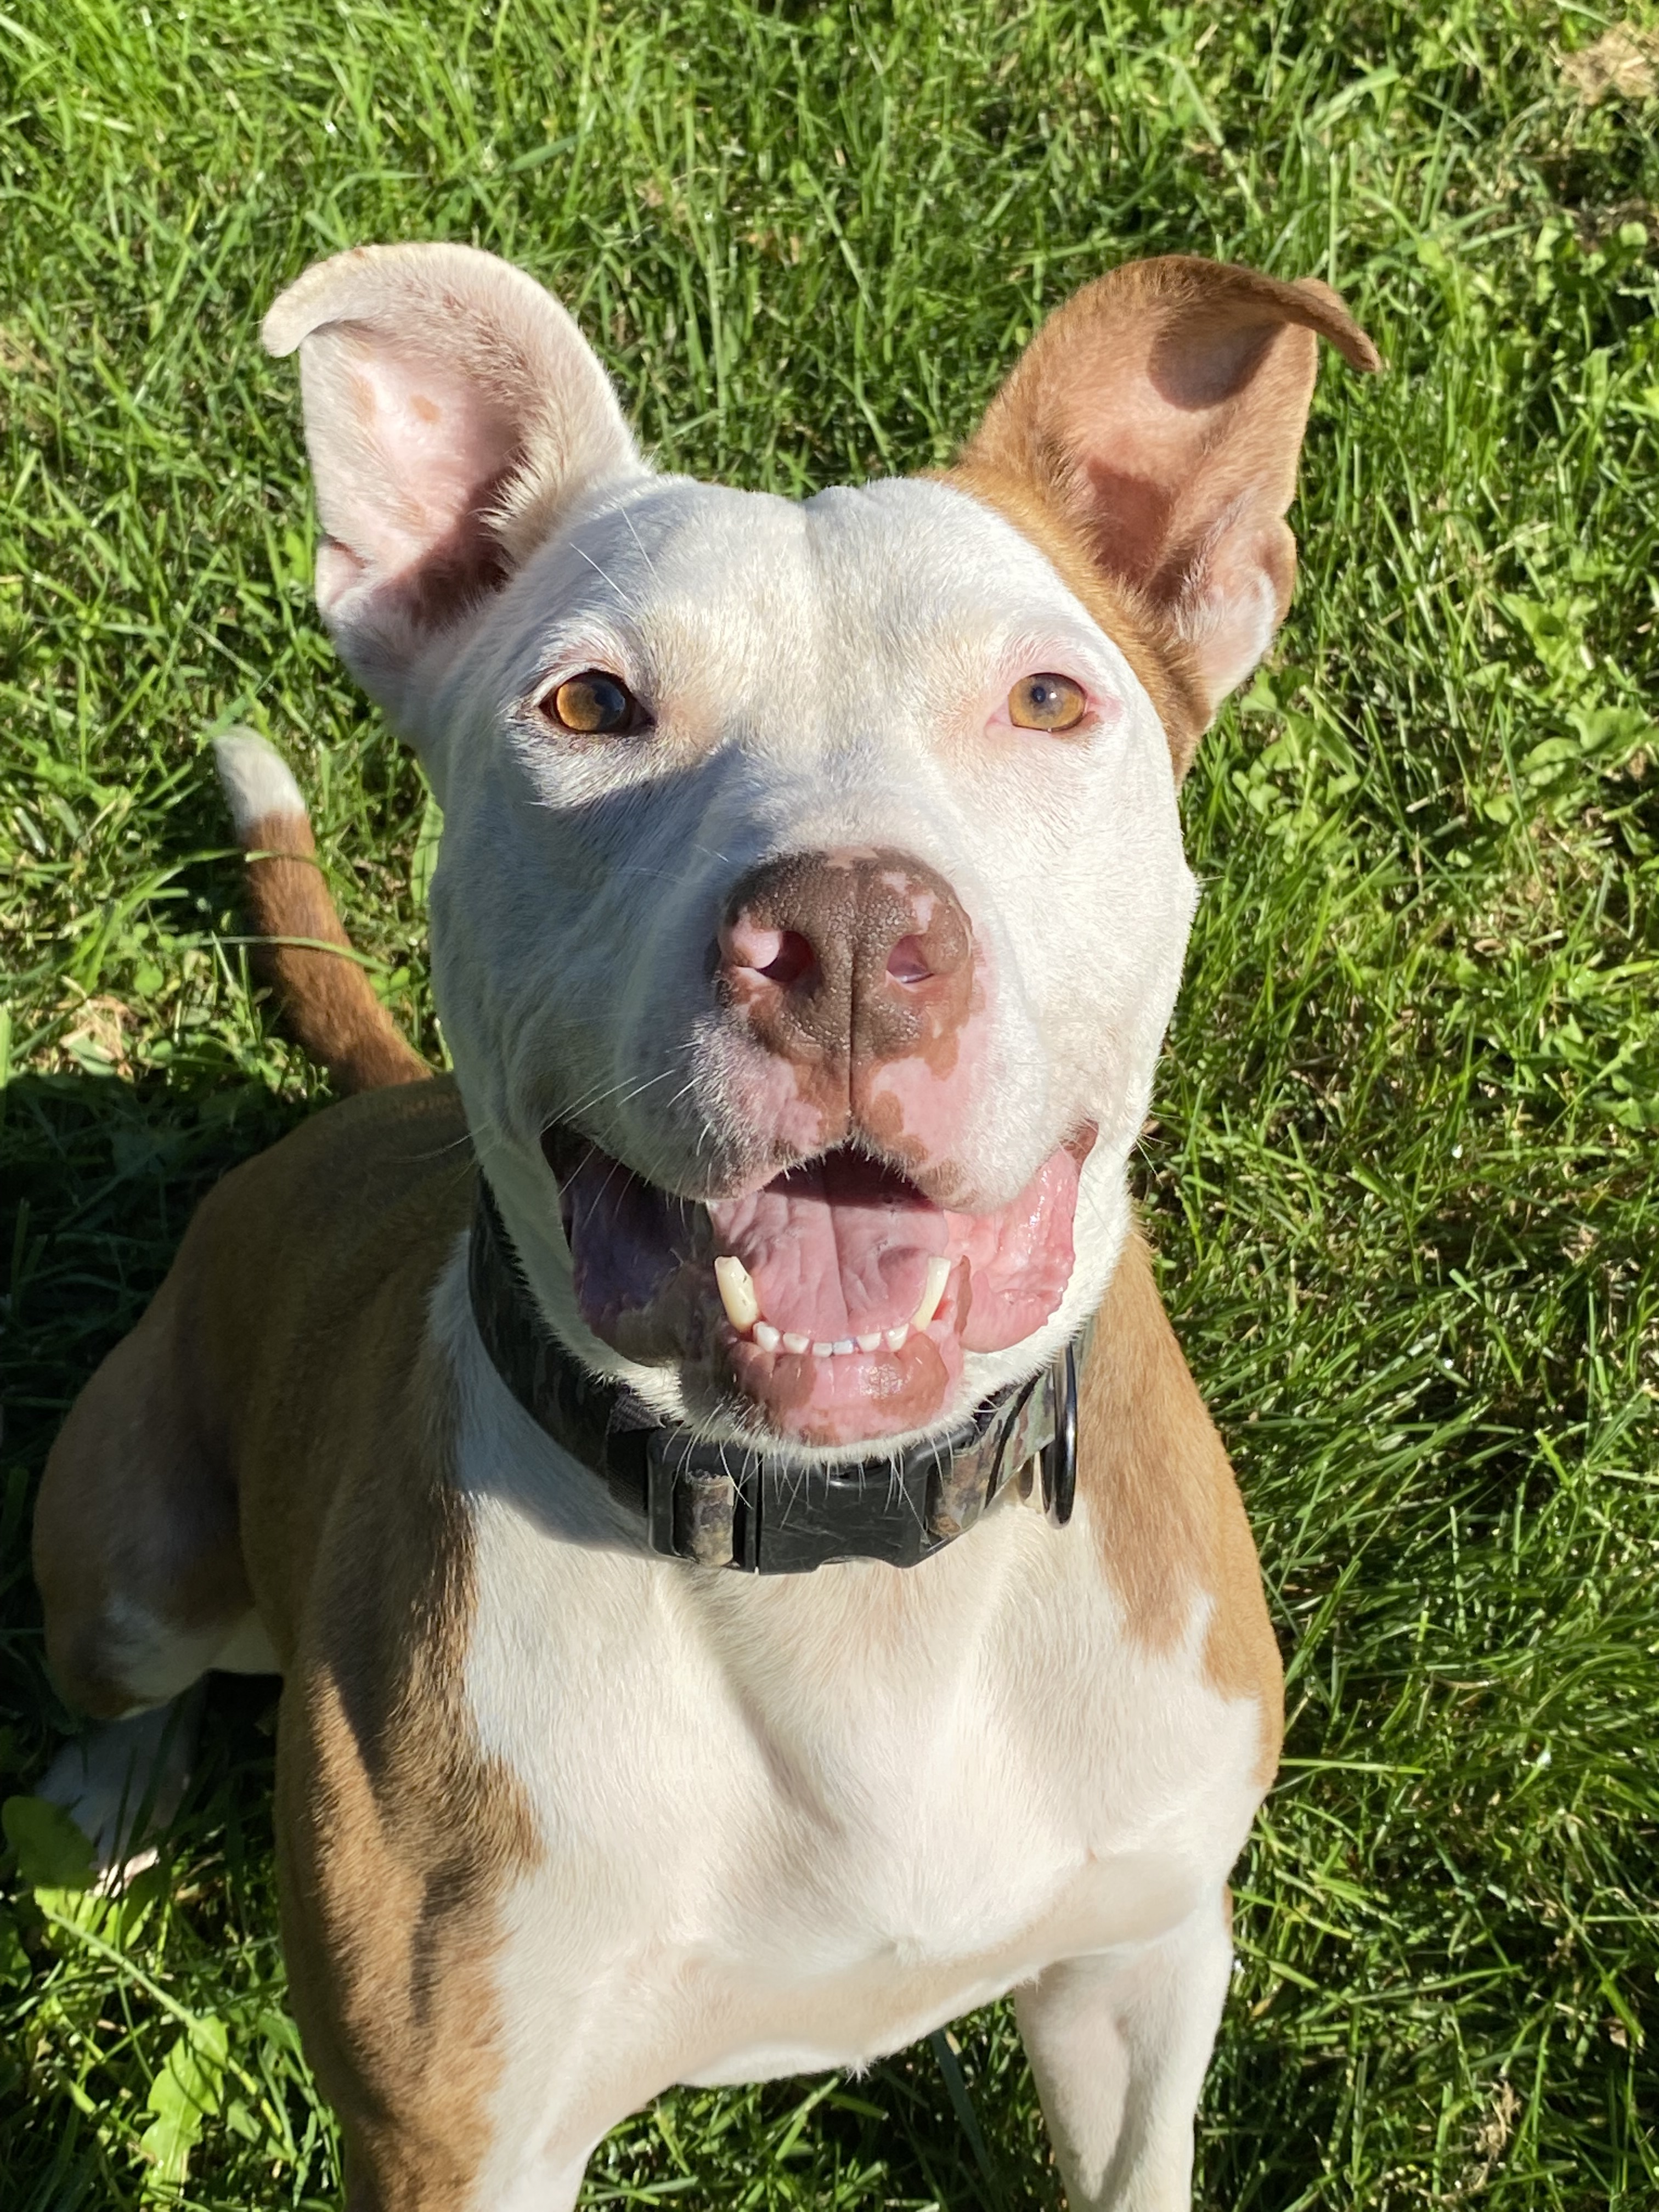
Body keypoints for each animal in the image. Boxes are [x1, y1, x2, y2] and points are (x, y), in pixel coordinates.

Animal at [32, 246, 1380, 2212]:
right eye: (591, 709)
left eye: (1050, 702)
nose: (849, 936)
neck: (849, 1572)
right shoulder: (459, 2139)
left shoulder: (1140, 1960)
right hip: (132, 1551)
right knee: (126, 1663)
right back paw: (110, 1794)